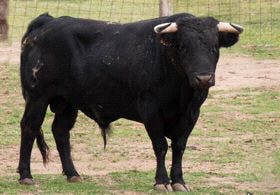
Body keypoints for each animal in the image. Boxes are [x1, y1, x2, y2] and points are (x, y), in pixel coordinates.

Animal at [18, 12, 243, 192]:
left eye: (214, 47)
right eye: (183, 47)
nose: (204, 78)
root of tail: (47, 22)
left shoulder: (191, 114)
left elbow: (179, 146)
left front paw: (179, 181)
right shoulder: (150, 111)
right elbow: (160, 146)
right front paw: (162, 181)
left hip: (68, 101)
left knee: (61, 131)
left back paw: (73, 174)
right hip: (38, 97)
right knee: (29, 127)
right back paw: (26, 176)